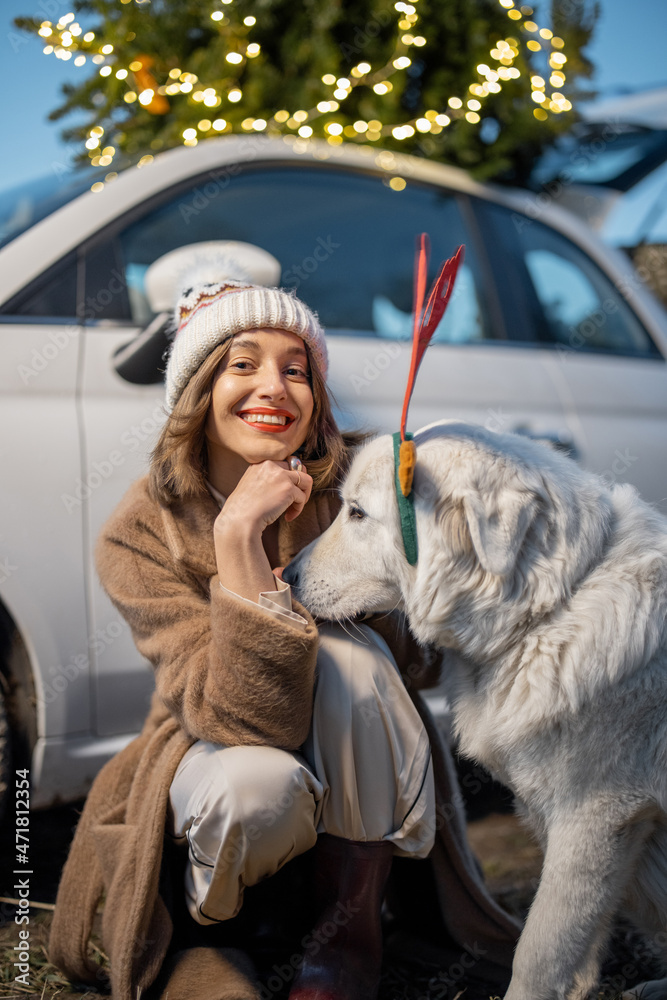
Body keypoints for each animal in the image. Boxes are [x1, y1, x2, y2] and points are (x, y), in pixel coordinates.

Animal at [286, 422, 667, 1000]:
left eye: (356, 513)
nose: (285, 574)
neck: (551, 607)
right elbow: (576, 949)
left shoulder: (593, 817)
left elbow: (539, 950)